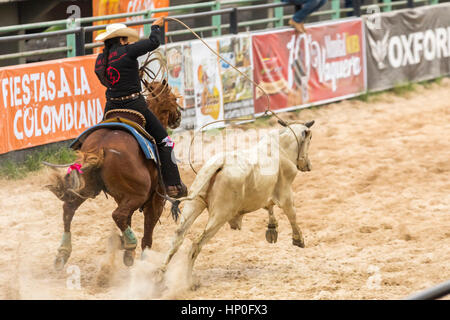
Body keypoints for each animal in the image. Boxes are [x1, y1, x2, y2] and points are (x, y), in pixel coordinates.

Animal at [48, 80, 182, 270]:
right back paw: (129, 245)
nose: (178, 116)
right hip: (139, 195)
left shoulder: (122, 197)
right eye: (173, 98)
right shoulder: (155, 201)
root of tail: (100, 147)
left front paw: (123, 244)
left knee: (69, 209)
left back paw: (63, 253)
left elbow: (128, 222)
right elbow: (147, 234)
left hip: (86, 188)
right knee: (117, 215)